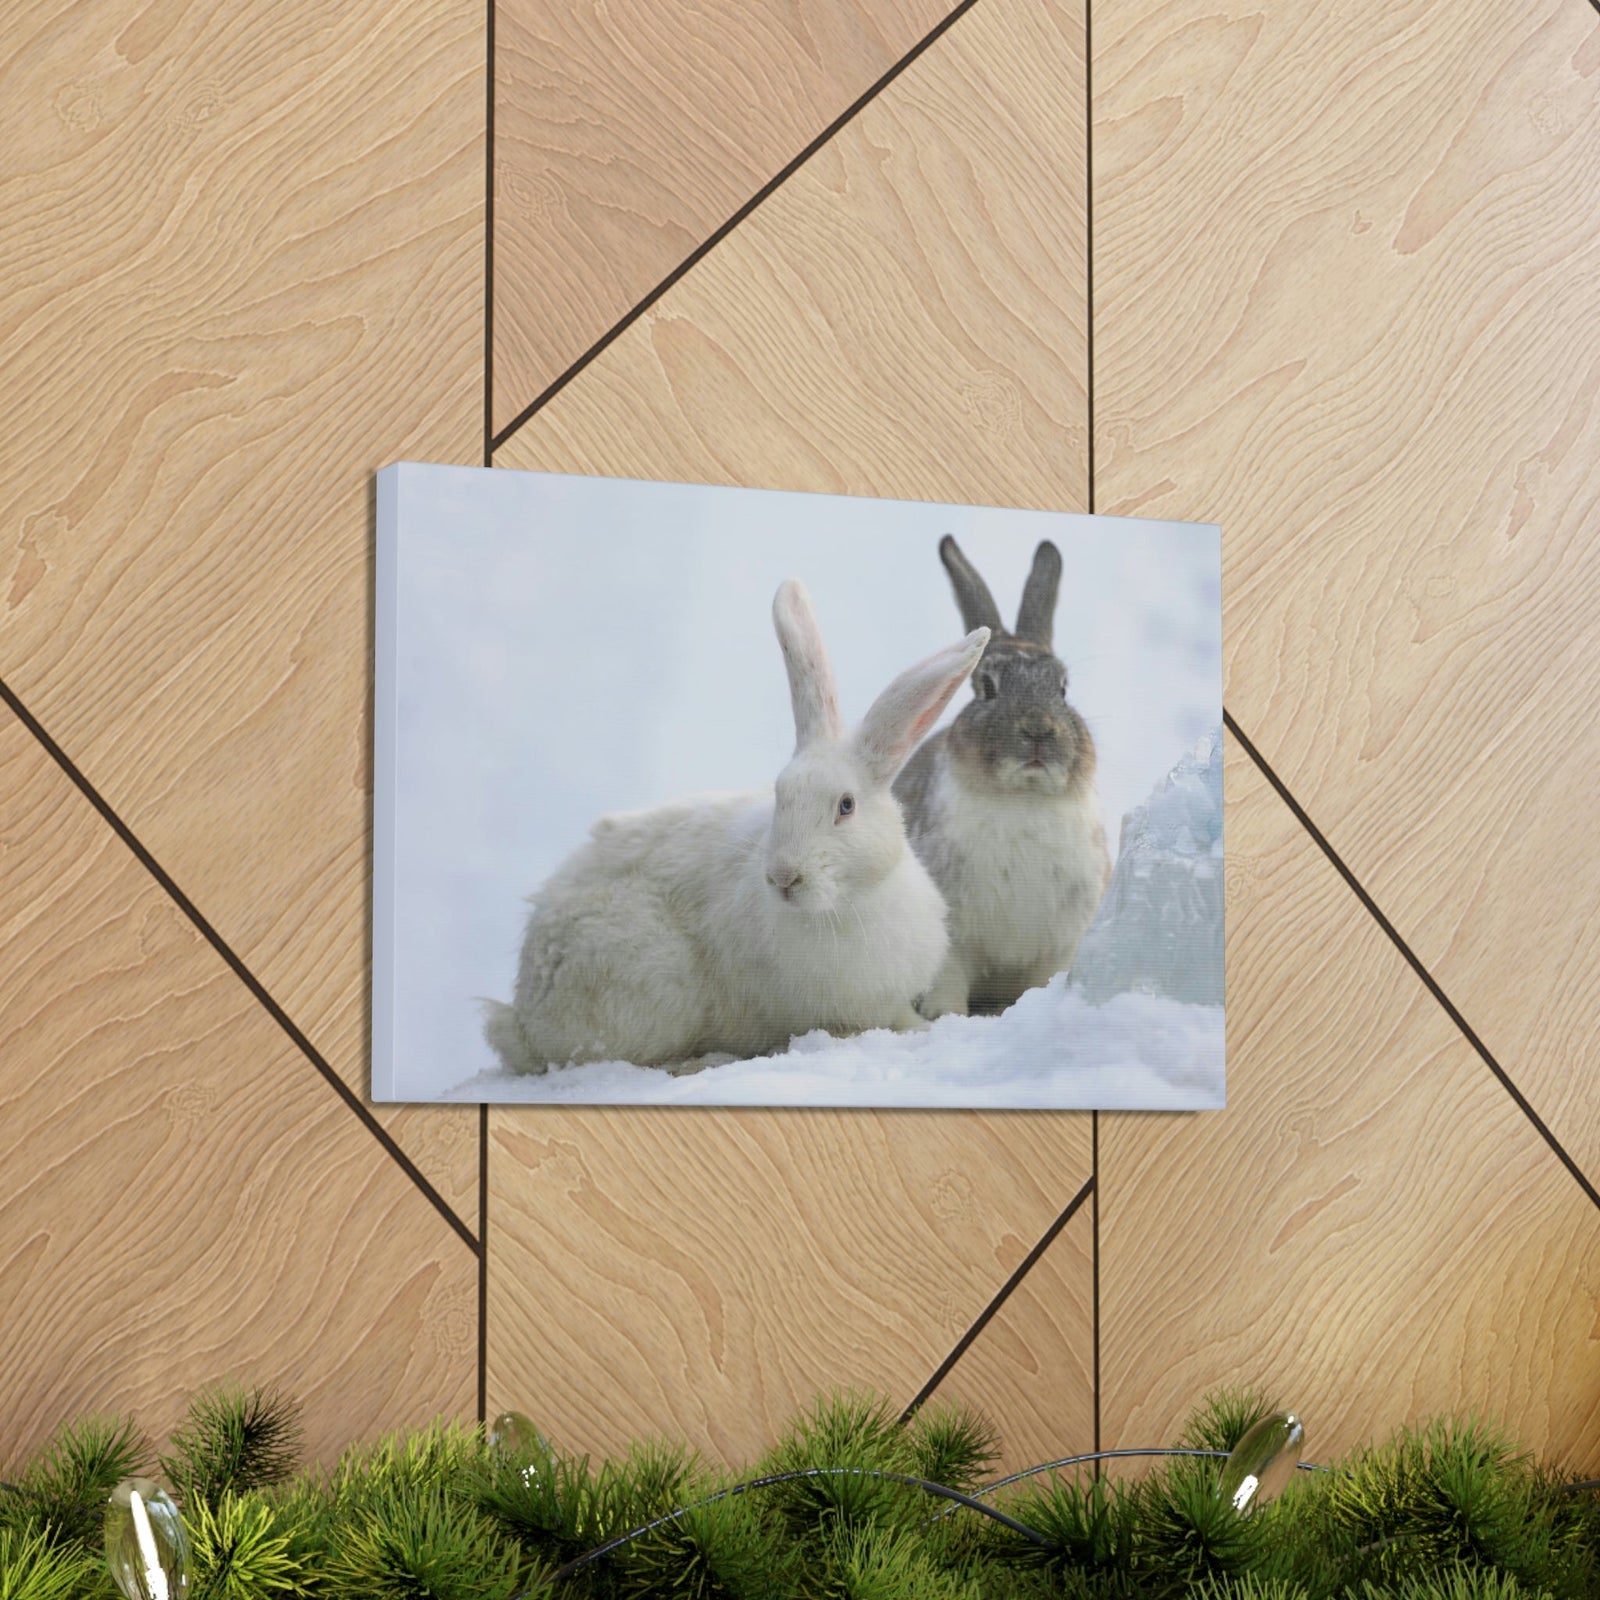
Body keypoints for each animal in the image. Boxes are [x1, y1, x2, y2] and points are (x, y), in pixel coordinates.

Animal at [893, 535, 1111, 1016]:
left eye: (1062, 688)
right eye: (987, 687)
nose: (1038, 729)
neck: (1022, 797)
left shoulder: (1059, 944)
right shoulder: (953, 940)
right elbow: (948, 980)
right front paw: (945, 1016)